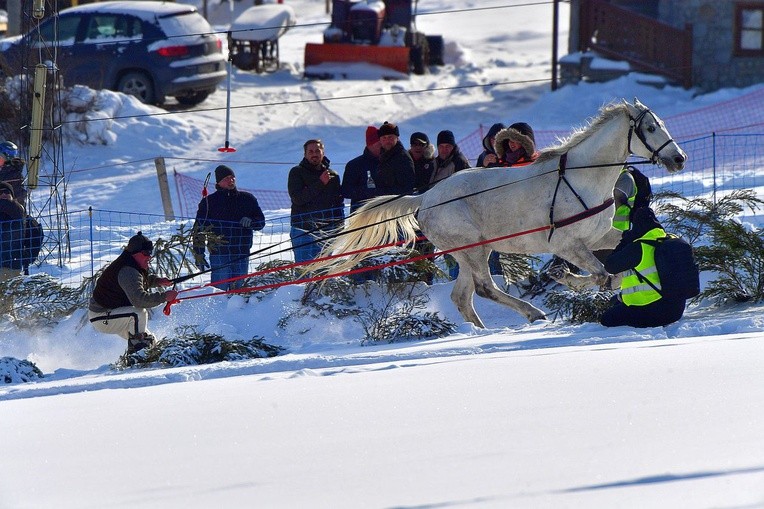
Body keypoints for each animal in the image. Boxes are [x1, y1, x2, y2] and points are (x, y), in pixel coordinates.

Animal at [310, 99, 688, 326]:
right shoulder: (567, 244)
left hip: (467, 253)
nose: (679, 158)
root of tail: (426, 197)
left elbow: (620, 268)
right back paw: (533, 313)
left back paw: (482, 332)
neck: (582, 178)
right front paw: (564, 278)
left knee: (462, 297)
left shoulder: (601, 236)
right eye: (650, 128)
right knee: (484, 290)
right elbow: (601, 275)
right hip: (474, 249)